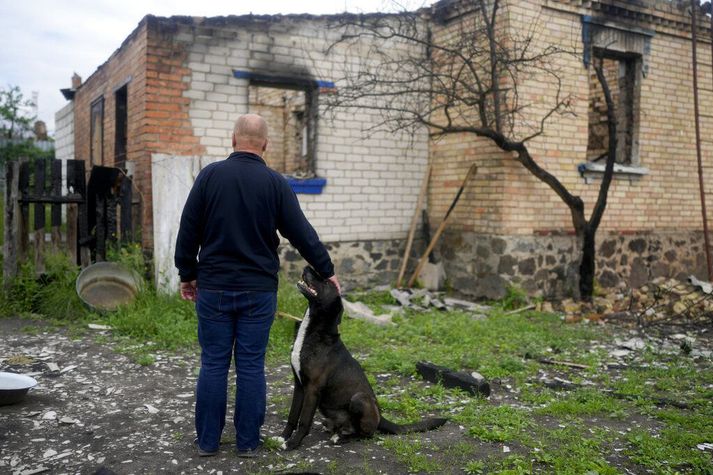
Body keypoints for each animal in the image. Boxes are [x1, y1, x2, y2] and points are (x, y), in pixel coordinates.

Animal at [280, 268, 442, 450]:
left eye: (326, 282)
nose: (307, 267)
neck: (315, 331)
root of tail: (381, 417)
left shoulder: (313, 388)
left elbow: (304, 421)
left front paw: (293, 443)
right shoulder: (299, 385)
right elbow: (293, 415)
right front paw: (282, 437)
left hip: (360, 400)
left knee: (366, 434)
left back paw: (341, 438)